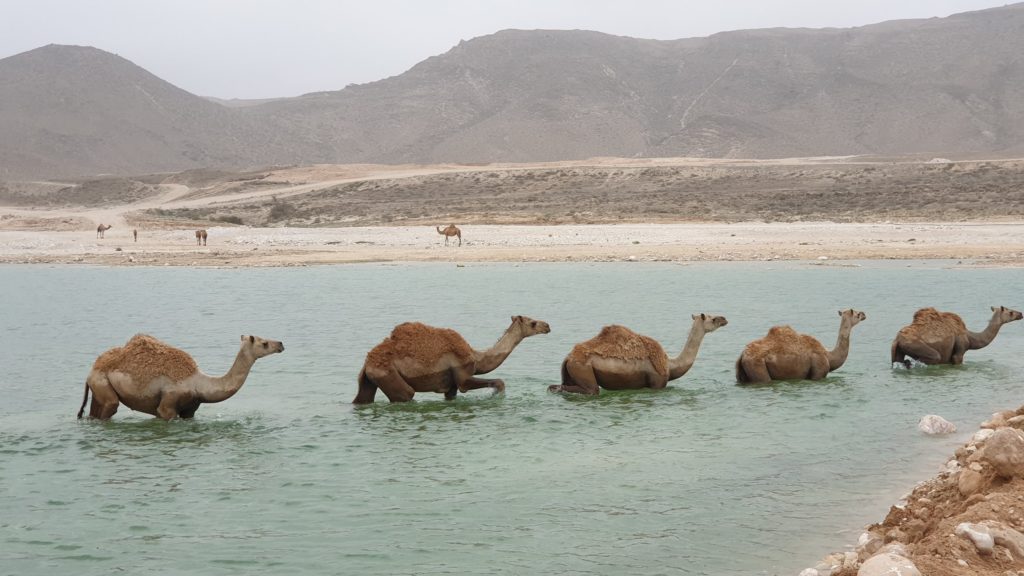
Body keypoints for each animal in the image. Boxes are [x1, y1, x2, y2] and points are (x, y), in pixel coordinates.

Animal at [76, 330, 286, 420]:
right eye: (264, 343)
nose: (281, 344)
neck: (199, 383)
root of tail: (90, 371)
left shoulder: (190, 409)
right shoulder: (168, 404)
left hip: (98, 390)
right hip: (103, 385)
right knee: (109, 408)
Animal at [358, 313, 552, 403]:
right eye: (532, 322)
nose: (547, 326)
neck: (477, 356)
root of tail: (366, 364)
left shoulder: (450, 386)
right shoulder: (462, 374)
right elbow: (498, 382)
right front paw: (495, 396)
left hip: (370, 380)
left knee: (363, 398)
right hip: (388, 374)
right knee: (406, 394)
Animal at [552, 309, 729, 393]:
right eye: (712, 318)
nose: (724, 319)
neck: (670, 365)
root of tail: (568, 358)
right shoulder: (658, 383)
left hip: (570, 372)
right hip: (583, 369)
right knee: (589, 390)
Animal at [733, 307, 868, 383]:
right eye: (857, 314)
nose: (864, 314)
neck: (829, 355)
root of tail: (742, 355)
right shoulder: (819, 371)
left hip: (742, 372)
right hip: (757, 365)